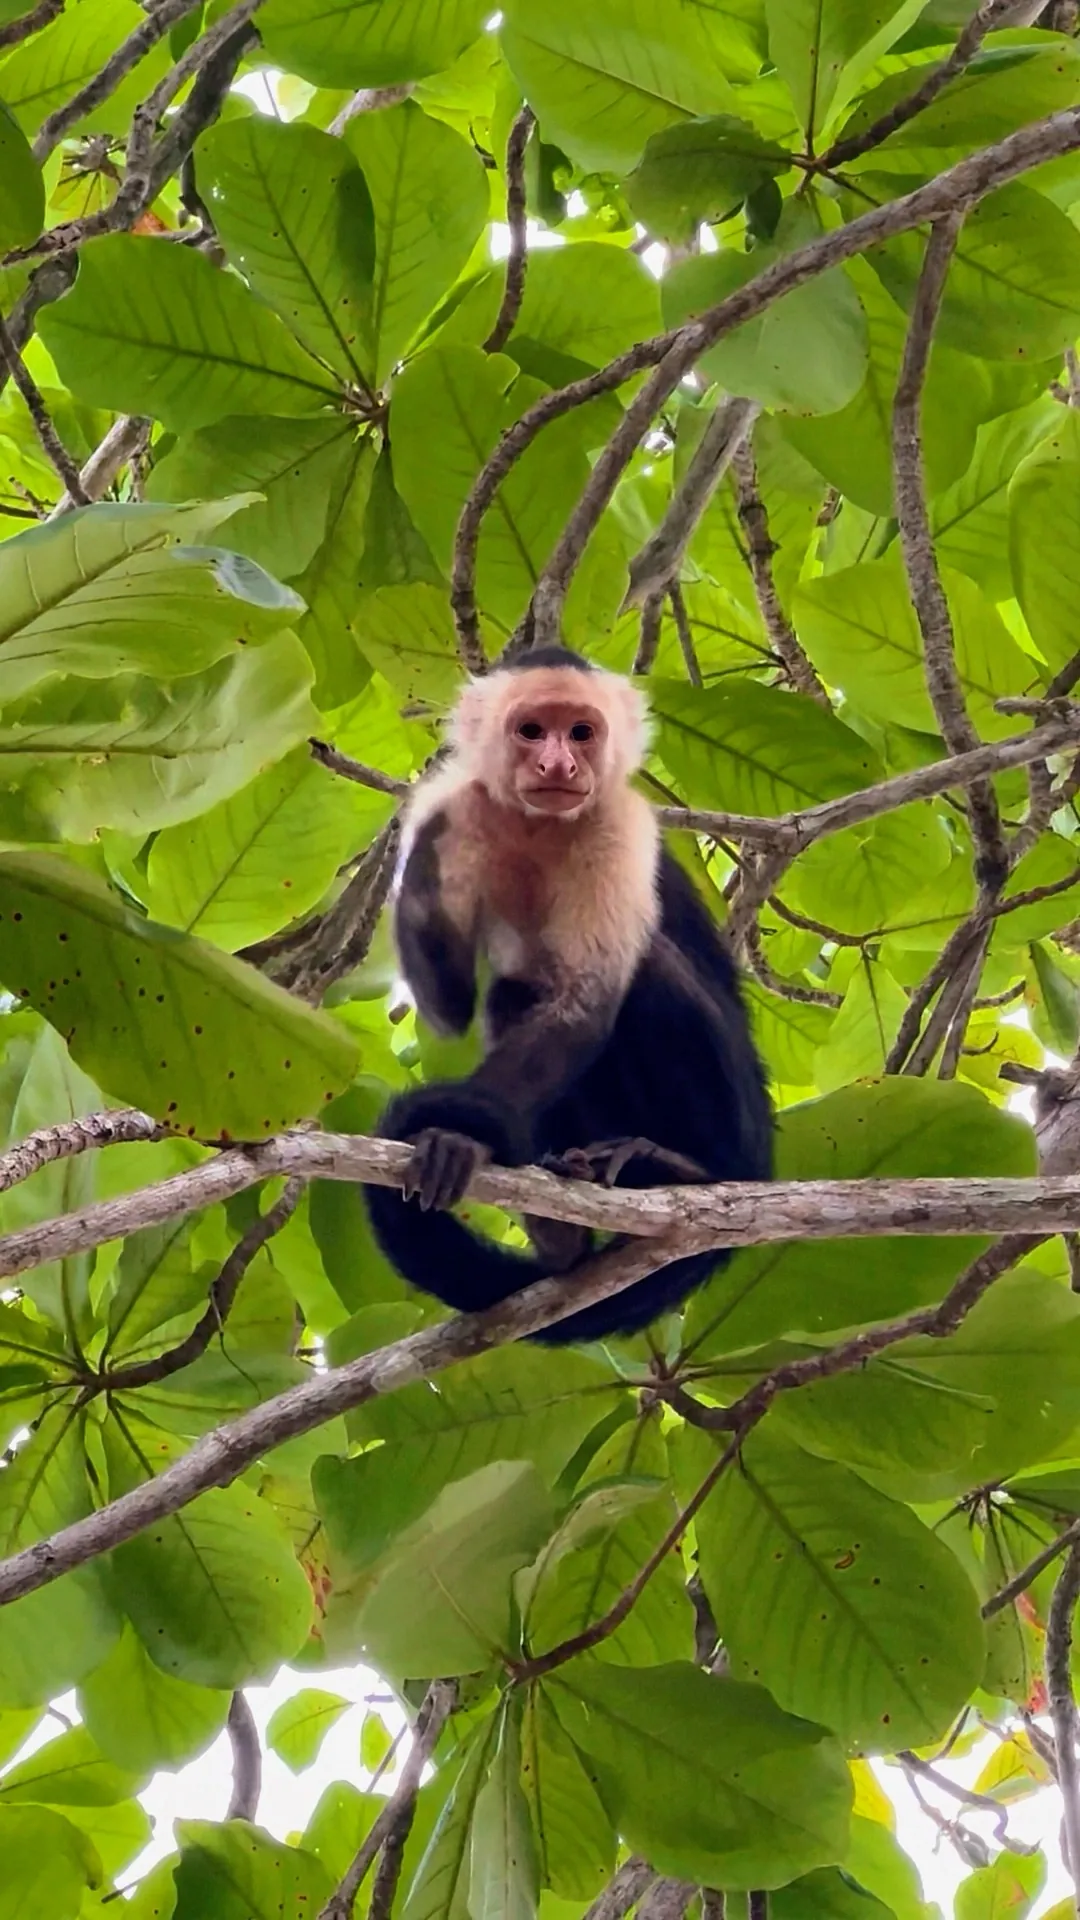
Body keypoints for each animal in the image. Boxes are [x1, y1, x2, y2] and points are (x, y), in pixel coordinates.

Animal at [363, 646, 772, 1345]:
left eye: (582, 732)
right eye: (532, 731)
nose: (559, 764)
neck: (539, 828)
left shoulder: (620, 825)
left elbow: (584, 1003)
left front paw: (462, 1137)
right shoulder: (458, 806)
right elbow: (449, 1008)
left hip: (740, 1125)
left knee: (644, 975)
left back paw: (689, 1170)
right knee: (511, 995)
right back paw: (563, 1243)